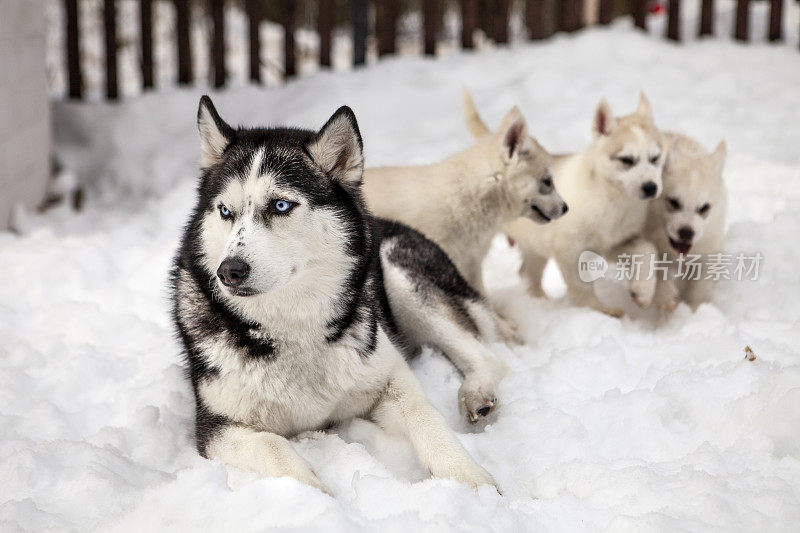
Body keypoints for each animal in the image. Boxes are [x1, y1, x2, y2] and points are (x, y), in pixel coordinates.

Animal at [648, 130, 728, 310]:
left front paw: (692, 312)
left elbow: (698, 291)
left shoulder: (707, 250)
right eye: (673, 202)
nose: (686, 232)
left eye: (704, 207)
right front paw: (666, 297)